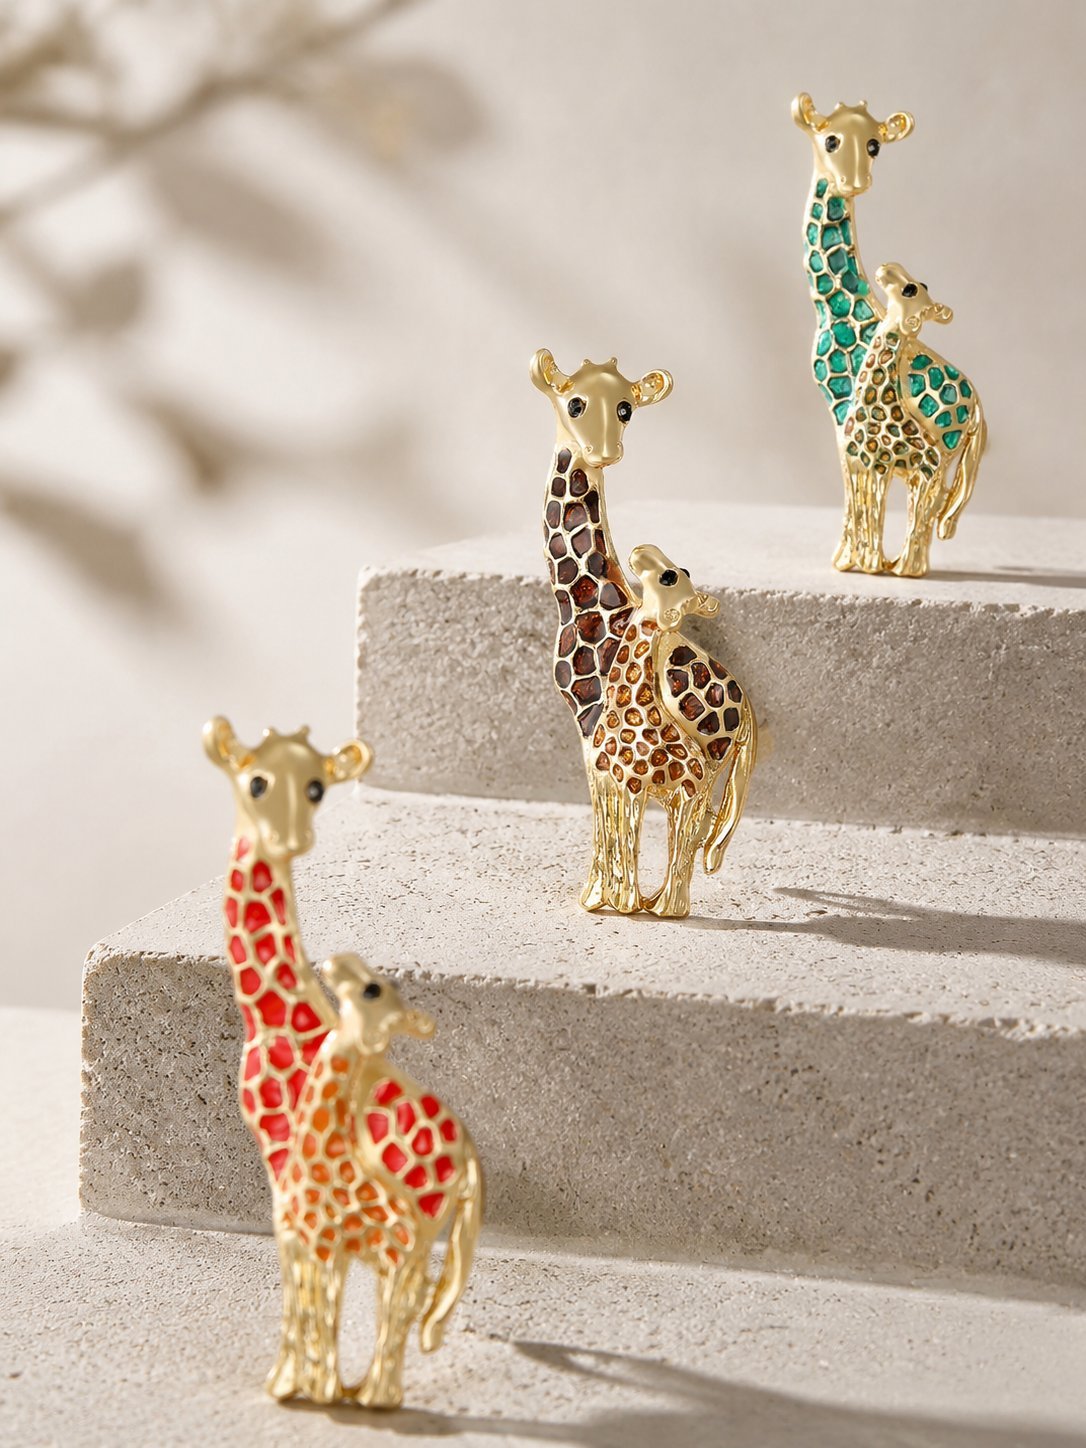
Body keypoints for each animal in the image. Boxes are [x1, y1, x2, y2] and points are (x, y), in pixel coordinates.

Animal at [273, 953, 482, 1408]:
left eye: (374, 990)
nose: (336, 961)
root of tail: (470, 1157)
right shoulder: (298, 1242)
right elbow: (301, 1310)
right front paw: (291, 1385)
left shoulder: (321, 1244)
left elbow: (318, 1314)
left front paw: (322, 1391)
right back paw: (367, 1391)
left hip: (407, 1249)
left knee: (403, 1306)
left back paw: (376, 1397)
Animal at [530, 347, 674, 911]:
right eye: (574, 402)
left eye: (626, 408)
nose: (606, 452)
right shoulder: (588, 729)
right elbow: (607, 808)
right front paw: (604, 893)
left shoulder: (593, 723)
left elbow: (610, 810)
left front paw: (605, 897)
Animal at [585, 544, 756, 918]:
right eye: (682, 572)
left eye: (670, 577)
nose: (641, 551)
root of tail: (748, 715)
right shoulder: (604, 782)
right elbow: (605, 841)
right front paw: (594, 900)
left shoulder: (630, 786)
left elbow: (626, 842)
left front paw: (624, 905)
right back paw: (657, 903)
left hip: (692, 792)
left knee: (686, 845)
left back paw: (667, 908)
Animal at [792, 93, 915, 573]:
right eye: (830, 139)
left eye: (875, 144)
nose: (855, 182)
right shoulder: (841, 411)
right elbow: (855, 484)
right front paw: (853, 555)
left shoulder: (846, 409)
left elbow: (857, 485)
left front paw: (857, 559)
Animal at [842, 263, 986, 578]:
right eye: (921, 285)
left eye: (911, 289)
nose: (887, 267)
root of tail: (978, 412)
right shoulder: (856, 464)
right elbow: (858, 513)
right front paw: (847, 562)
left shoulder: (876, 466)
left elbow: (872, 516)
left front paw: (871, 566)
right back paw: (903, 565)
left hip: (929, 473)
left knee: (924, 517)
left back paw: (906, 569)